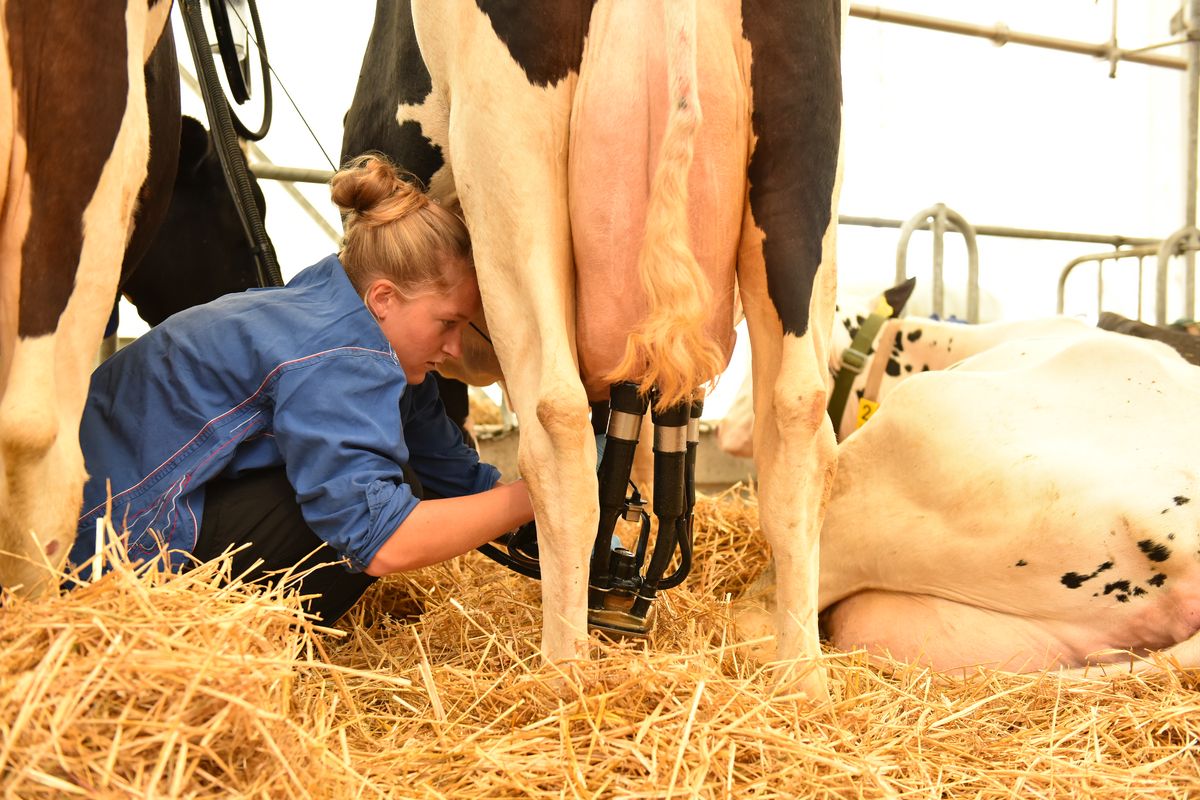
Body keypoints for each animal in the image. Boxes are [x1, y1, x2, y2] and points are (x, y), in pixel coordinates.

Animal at [345, 1, 854, 700]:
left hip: (508, 153)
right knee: (798, 424)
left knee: (557, 427)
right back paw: (801, 684)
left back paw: (564, 677)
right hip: (802, 154)